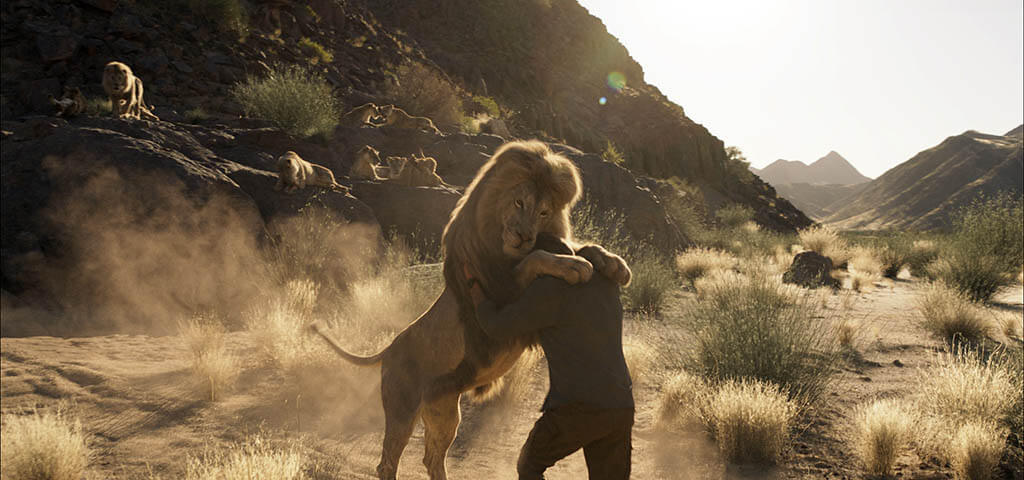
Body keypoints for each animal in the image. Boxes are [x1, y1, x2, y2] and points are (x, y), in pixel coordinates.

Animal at [311, 139, 630, 478]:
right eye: (519, 202)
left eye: (544, 211)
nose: (524, 236)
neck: (501, 246)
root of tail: (389, 348)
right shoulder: (503, 293)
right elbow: (535, 259)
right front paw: (573, 265)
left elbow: (580, 247)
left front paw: (614, 264)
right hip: (402, 409)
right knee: (387, 461)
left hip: (445, 410)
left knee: (431, 457)